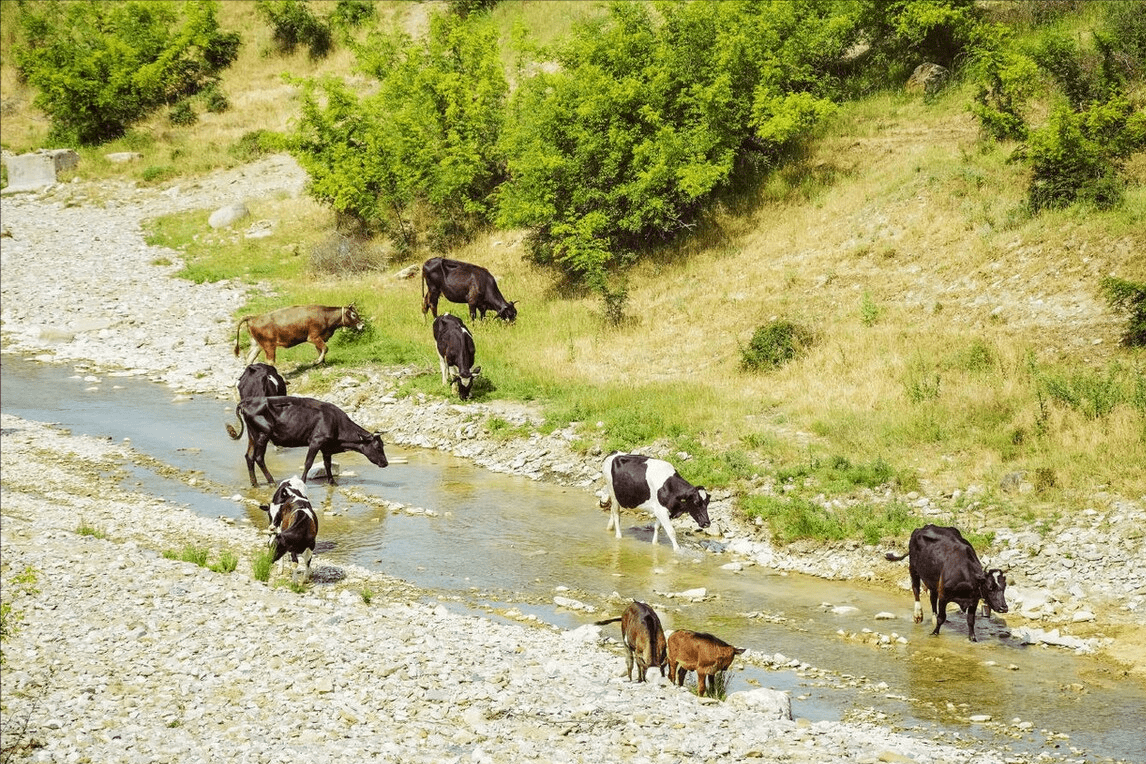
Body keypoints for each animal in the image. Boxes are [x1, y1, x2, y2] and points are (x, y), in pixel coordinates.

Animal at [230, 302, 359, 366]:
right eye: (353, 315)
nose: (361, 325)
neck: (325, 316)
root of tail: (253, 318)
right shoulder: (313, 337)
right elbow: (325, 348)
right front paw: (317, 361)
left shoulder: (319, 338)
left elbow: (320, 349)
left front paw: (322, 363)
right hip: (269, 345)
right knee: (270, 362)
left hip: (258, 345)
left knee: (249, 359)